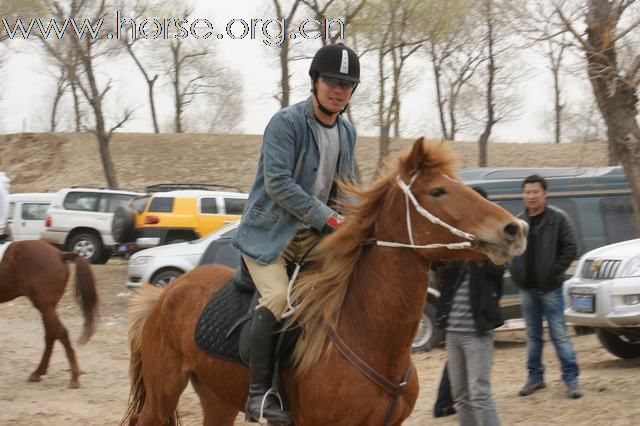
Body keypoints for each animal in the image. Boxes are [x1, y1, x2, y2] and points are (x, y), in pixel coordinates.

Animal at [0, 241, 99, 388]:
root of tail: (59, 255)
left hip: (45, 306)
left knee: (60, 333)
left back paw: (73, 378)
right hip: (47, 308)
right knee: (52, 335)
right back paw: (39, 372)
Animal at [122, 138, 528, 424]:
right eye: (438, 191)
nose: (515, 228)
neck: (370, 338)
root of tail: (165, 294)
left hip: (218, 396)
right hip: (163, 393)